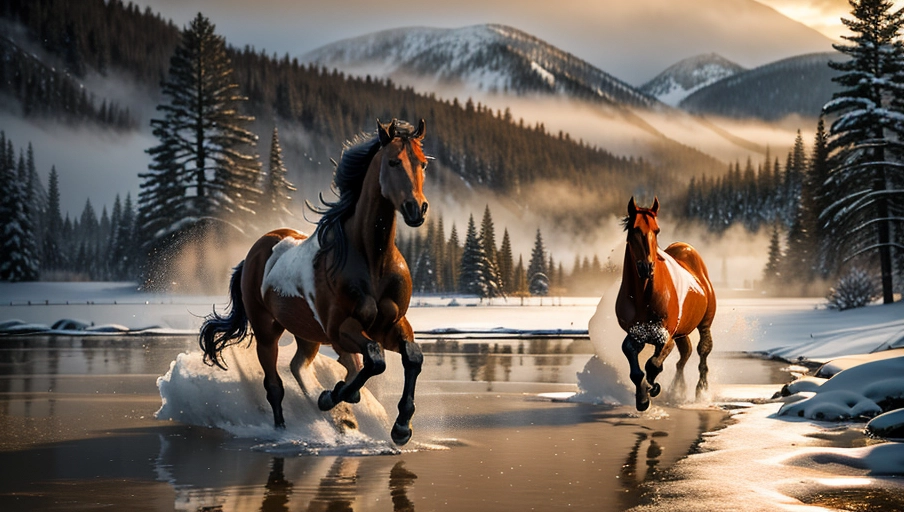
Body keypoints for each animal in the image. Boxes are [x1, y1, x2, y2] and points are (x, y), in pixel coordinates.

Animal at [199, 118, 429, 445]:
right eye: (393, 161)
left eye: (423, 163)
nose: (416, 209)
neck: (372, 260)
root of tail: (254, 253)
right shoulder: (340, 328)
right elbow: (375, 360)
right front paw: (331, 397)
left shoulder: (391, 325)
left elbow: (411, 358)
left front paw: (401, 428)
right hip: (267, 332)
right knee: (275, 385)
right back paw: (287, 428)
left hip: (307, 333)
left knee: (300, 366)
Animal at [615, 197, 716, 411]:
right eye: (634, 229)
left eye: (657, 230)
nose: (647, 267)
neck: (644, 297)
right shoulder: (635, 334)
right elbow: (637, 369)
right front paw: (642, 398)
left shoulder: (665, 336)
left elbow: (653, 364)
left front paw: (652, 388)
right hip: (682, 330)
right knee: (685, 354)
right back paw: (676, 389)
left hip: (705, 324)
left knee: (702, 350)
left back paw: (701, 389)